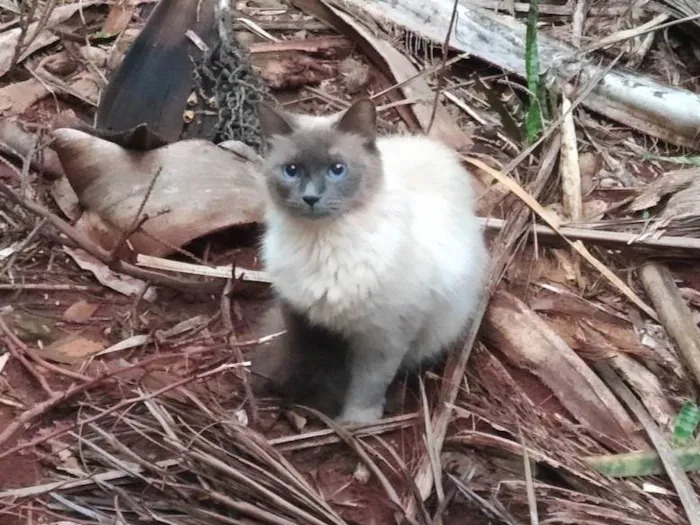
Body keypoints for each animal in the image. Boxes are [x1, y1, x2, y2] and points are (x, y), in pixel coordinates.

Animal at [253, 98, 486, 424]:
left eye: (337, 169)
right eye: (292, 170)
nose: (310, 198)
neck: (322, 242)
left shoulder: (384, 335)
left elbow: (368, 384)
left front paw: (355, 422)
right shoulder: (301, 313)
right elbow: (302, 354)